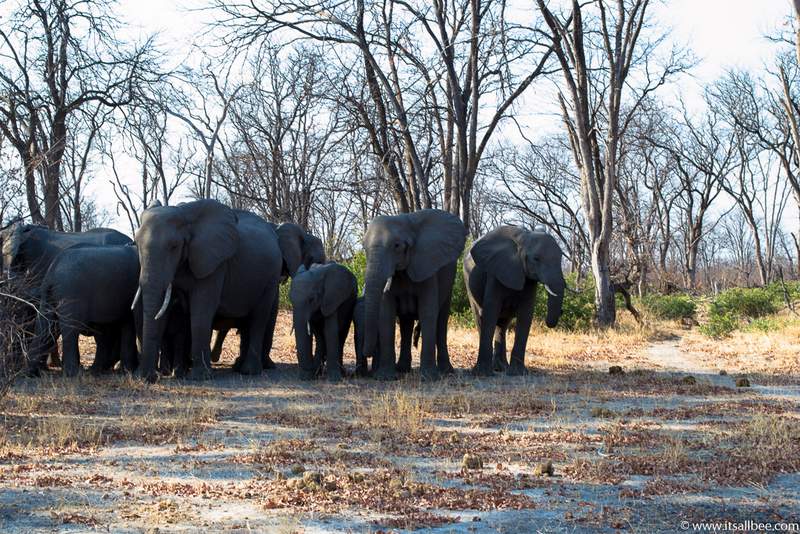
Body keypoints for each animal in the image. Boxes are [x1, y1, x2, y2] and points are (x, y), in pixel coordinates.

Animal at [31, 245, 139, 378]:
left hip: (49, 295)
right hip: (71, 292)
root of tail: (52, 271)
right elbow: (128, 324)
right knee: (70, 329)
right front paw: (127, 372)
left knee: (45, 325)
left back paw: (33, 372)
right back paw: (74, 374)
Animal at [132, 199, 282, 384]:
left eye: (174, 246)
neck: (186, 216)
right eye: (136, 243)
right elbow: (163, 311)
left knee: (259, 318)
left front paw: (200, 377)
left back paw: (249, 371)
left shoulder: (214, 264)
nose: (150, 378)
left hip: (271, 278)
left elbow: (201, 311)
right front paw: (151, 377)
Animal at [360, 209, 466, 382]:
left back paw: (446, 371)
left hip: (449, 281)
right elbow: (386, 314)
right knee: (406, 324)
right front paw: (385, 377)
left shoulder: (427, 267)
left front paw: (428, 377)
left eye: (397, 246)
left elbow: (428, 313)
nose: (367, 354)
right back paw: (403, 369)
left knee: (441, 321)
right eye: (364, 247)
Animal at [462, 226, 568, 376]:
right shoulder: (495, 273)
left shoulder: (529, 279)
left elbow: (526, 315)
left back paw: (501, 368)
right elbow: (491, 311)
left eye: (560, 257)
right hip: (468, 280)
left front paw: (518, 373)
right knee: (480, 317)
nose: (562, 311)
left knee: (502, 325)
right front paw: (482, 374)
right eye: (536, 259)